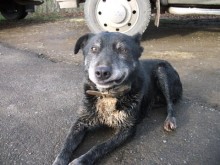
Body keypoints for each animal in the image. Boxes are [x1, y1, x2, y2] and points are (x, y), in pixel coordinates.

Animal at [52, 31, 182, 164]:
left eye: (123, 50)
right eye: (93, 49)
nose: (102, 72)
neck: (107, 94)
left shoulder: (127, 129)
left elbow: (100, 146)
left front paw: (81, 160)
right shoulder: (81, 121)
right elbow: (67, 143)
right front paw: (59, 160)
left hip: (162, 71)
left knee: (170, 103)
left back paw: (170, 119)